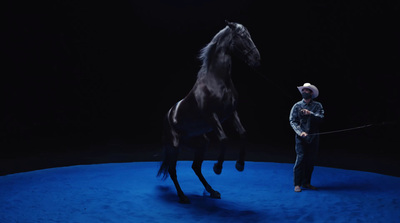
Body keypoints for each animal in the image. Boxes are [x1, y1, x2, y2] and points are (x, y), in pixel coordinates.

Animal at [158, 20, 260, 204]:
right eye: (241, 36)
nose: (257, 59)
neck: (218, 81)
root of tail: (168, 115)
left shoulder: (231, 114)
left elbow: (243, 133)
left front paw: (240, 165)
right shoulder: (212, 117)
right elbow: (224, 138)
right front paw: (218, 167)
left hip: (200, 144)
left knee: (195, 167)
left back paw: (212, 191)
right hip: (174, 146)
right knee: (172, 170)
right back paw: (182, 196)